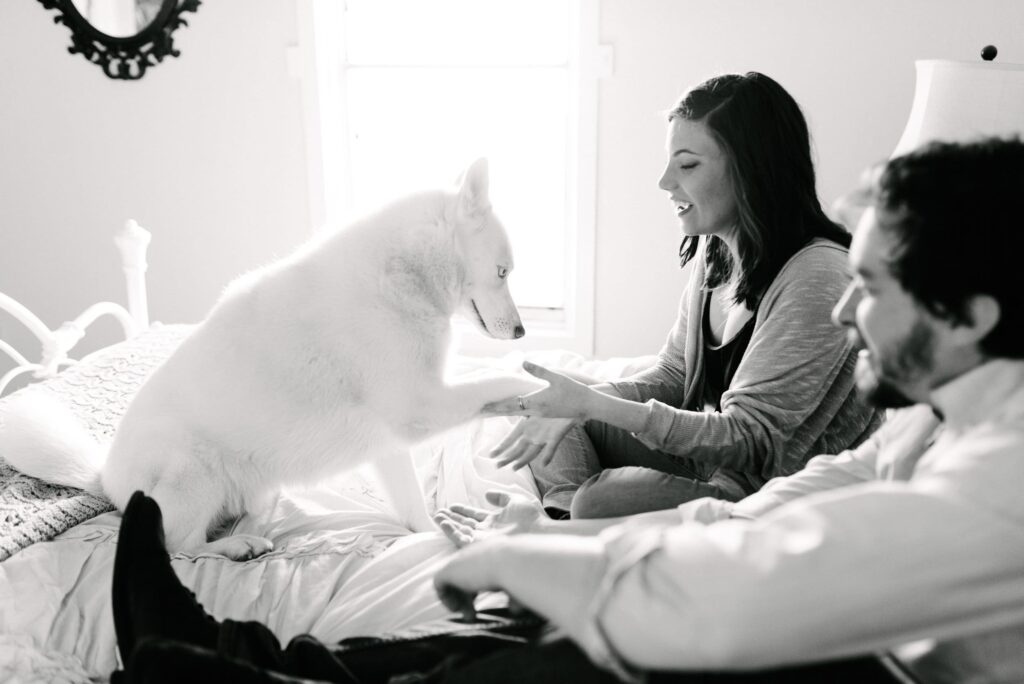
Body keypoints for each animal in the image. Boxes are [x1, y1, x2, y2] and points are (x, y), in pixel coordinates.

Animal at [0, 160, 540, 561]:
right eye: (502, 272)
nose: (520, 332)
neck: (402, 274)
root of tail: (105, 476)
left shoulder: (394, 437)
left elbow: (413, 505)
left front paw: (429, 534)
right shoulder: (420, 405)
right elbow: (492, 378)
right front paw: (534, 384)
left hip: (259, 482)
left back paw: (259, 526)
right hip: (192, 471)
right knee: (179, 546)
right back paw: (236, 547)